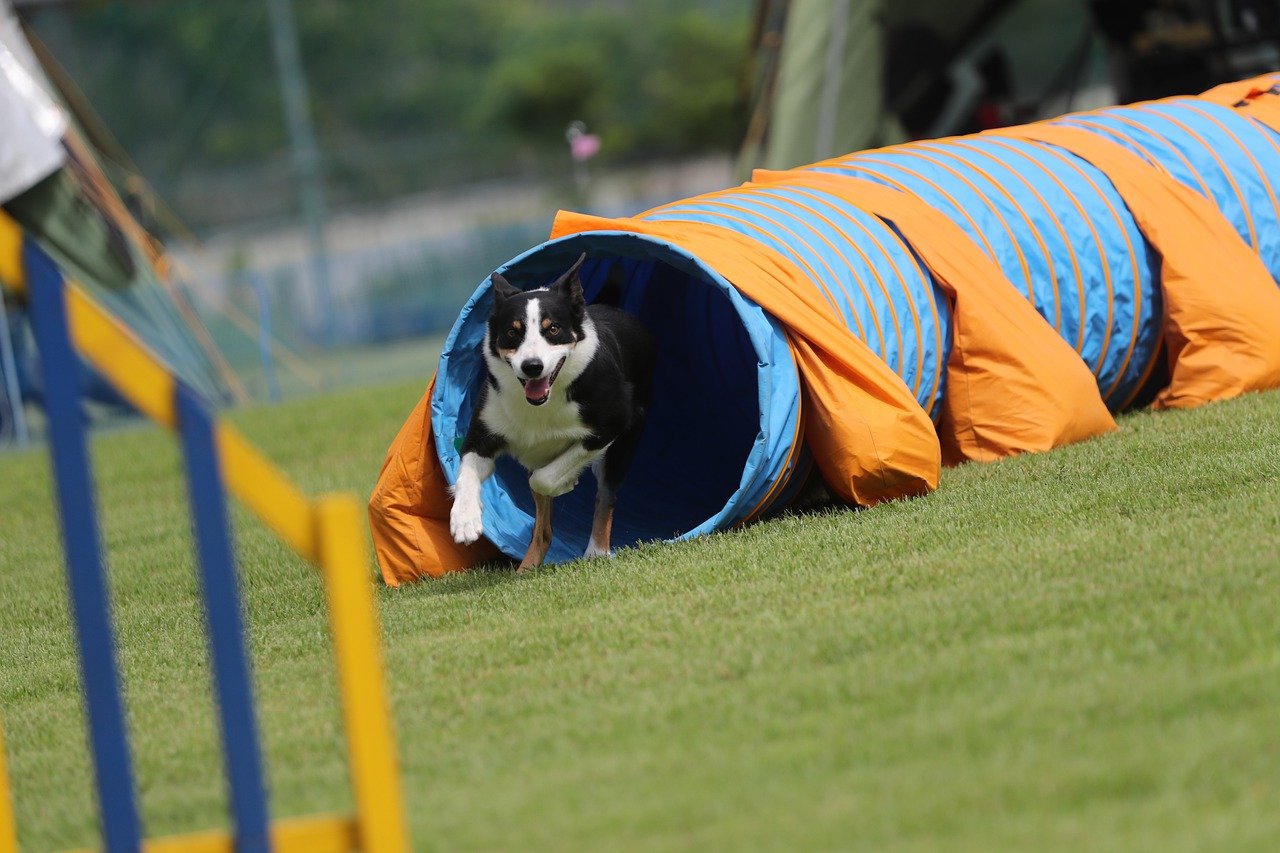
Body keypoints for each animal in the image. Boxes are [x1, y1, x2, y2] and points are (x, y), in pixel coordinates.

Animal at [448, 252, 650, 571]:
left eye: (552, 328)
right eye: (512, 332)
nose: (532, 366)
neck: (544, 402)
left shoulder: (615, 421)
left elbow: (544, 478)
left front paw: (566, 482)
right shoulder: (484, 429)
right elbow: (466, 470)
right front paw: (465, 521)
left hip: (625, 443)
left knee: (604, 495)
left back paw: (596, 551)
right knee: (544, 528)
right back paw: (526, 567)